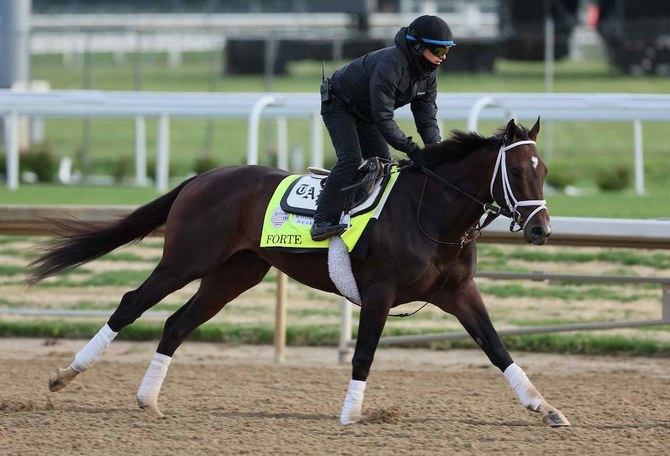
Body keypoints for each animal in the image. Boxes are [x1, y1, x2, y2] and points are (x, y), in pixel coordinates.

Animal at [30, 117, 572, 428]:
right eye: (517, 172)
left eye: (545, 172)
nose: (542, 228)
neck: (430, 212)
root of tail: (201, 178)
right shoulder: (379, 292)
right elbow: (364, 354)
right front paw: (351, 415)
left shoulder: (458, 291)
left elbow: (497, 347)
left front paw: (544, 407)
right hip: (186, 260)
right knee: (131, 305)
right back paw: (63, 375)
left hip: (234, 274)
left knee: (176, 324)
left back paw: (147, 400)